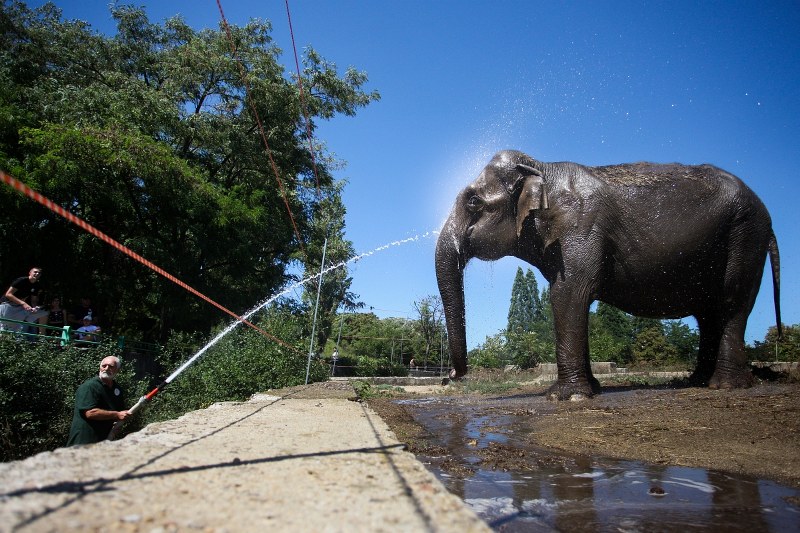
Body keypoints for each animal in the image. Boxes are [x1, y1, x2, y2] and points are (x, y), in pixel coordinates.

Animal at [438, 150, 780, 400]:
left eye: (473, 201)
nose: (449, 376)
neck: (542, 168)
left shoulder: (580, 225)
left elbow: (567, 294)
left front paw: (565, 397)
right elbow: (573, 298)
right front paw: (591, 389)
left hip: (745, 235)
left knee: (732, 302)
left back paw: (725, 385)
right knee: (708, 314)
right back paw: (695, 381)